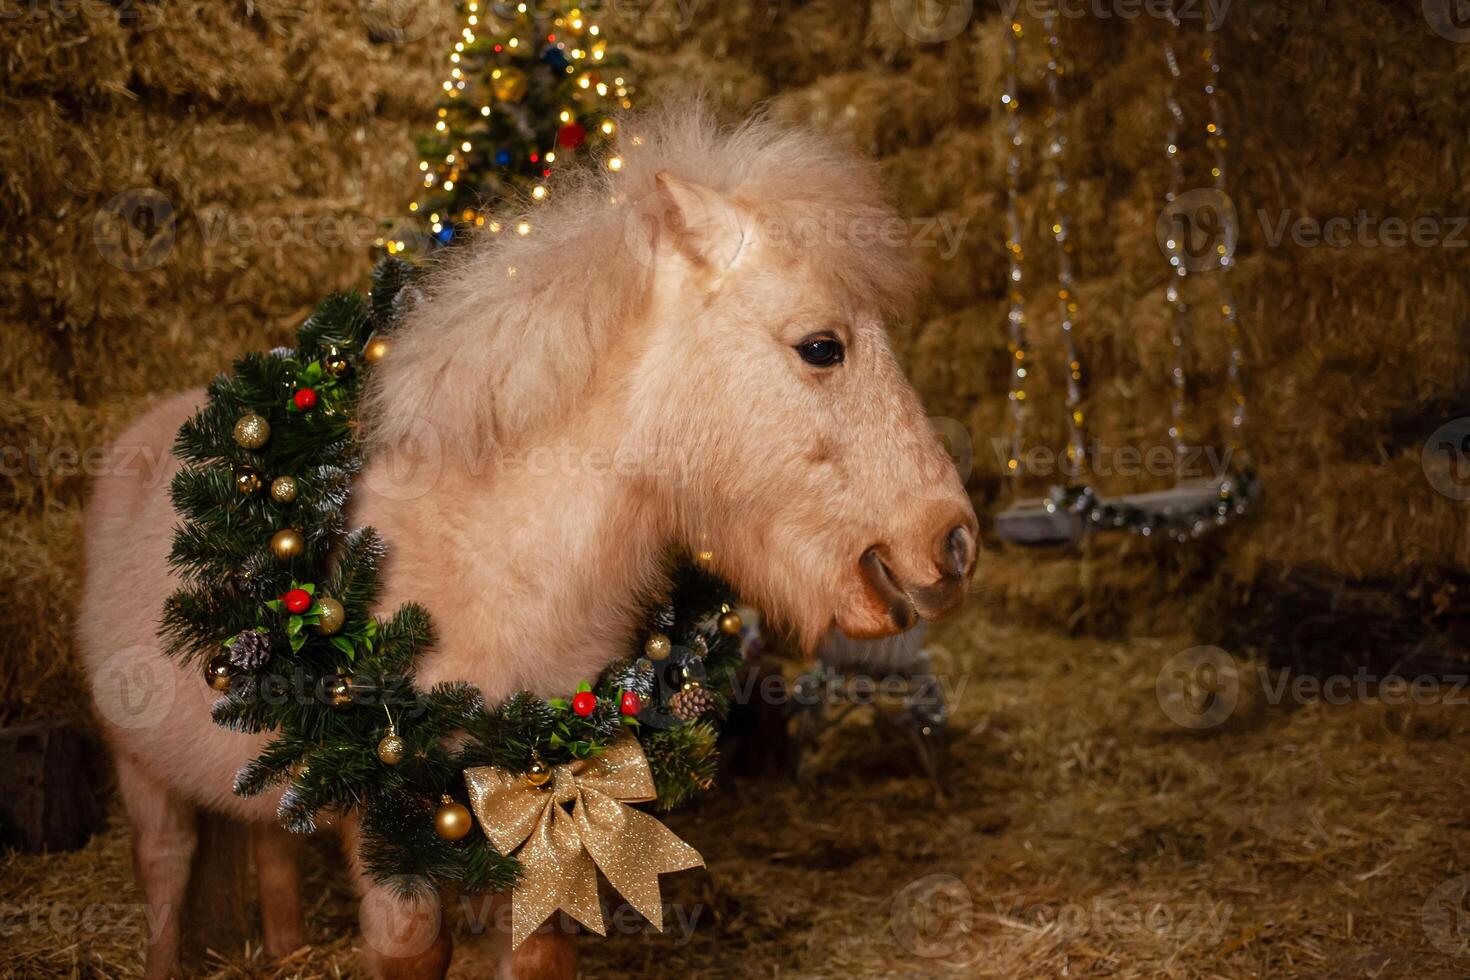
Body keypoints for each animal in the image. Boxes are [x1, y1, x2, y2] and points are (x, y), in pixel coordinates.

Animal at [77, 103, 976, 975]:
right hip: (141, 773)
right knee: (165, 871)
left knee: (269, 854)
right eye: (822, 347)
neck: (488, 564)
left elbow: (535, 951)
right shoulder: (388, 826)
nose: (954, 541)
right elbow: (409, 946)